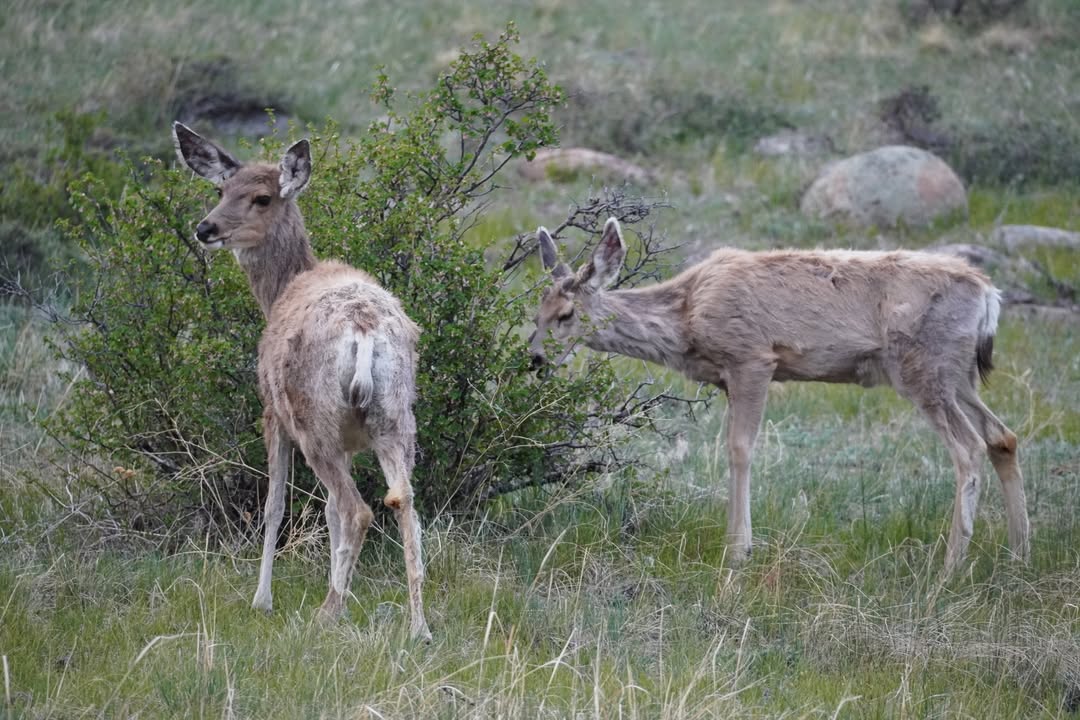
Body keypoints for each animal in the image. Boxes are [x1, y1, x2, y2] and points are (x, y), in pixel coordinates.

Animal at [172, 122, 431, 641]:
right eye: (220, 190)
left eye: (262, 198)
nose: (205, 228)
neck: (279, 291)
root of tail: (363, 329)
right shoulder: (350, 439)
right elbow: (327, 513)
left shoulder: (271, 412)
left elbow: (275, 506)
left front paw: (262, 601)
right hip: (395, 415)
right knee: (403, 502)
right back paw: (417, 627)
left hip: (313, 416)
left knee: (358, 509)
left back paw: (325, 613)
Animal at [529, 217, 1030, 577]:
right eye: (536, 311)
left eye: (566, 314)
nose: (534, 359)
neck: (686, 319)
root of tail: (989, 295)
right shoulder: (729, 376)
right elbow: (731, 448)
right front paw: (737, 544)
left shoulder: (752, 357)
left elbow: (740, 449)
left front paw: (738, 551)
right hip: (958, 374)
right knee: (1002, 436)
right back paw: (1017, 555)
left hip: (922, 367)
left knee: (968, 448)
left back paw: (950, 567)